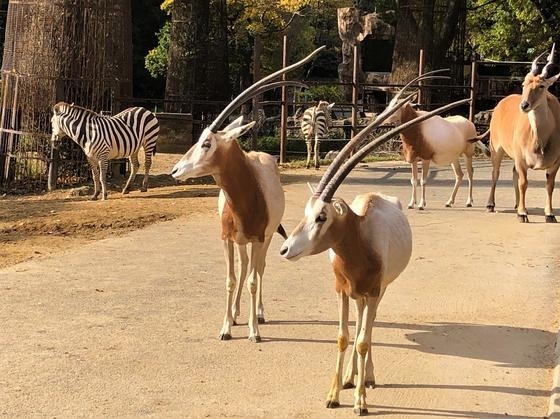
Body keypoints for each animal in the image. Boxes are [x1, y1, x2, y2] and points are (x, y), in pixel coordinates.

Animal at [171, 46, 324, 342]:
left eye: (207, 143)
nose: (175, 170)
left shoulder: (258, 238)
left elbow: (254, 278)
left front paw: (254, 331)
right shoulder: (226, 239)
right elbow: (231, 279)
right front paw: (225, 327)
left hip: (265, 238)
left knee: (259, 268)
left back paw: (259, 314)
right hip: (240, 242)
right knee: (243, 267)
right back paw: (236, 313)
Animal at [280, 87, 468, 416]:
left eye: (322, 216)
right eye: (306, 212)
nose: (285, 248)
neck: (360, 239)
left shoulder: (374, 290)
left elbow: (363, 341)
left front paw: (360, 402)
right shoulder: (341, 290)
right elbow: (344, 338)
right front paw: (333, 394)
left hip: (379, 292)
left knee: (369, 327)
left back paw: (366, 378)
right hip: (358, 295)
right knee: (358, 326)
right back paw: (350, 377)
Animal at [384, 70, 486, 212]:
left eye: (397, 106)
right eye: (390, 104)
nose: (383, 118)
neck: (418, 127)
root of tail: (470, 123)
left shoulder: (425, 158)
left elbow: (423, 180)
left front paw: (421, 204)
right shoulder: (413, 159)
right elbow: (413, 180)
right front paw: (411, 204)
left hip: (468, 154)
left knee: (470, 173)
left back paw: (469, 202)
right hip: (454, 157)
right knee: (459, 175)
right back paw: (449, 202)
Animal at [486, 44, 560, 223]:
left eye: (541, 86)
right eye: (524, 84)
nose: (524, 105)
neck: (540, 141)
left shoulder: (556, 163)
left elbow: (550, 185)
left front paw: (550, 214)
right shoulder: (521, 159)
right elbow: (524, 182)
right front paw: (522, 213)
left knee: (514, 174)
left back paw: (516, 204)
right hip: (496, 149)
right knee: (495, 173)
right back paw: (491, 204)